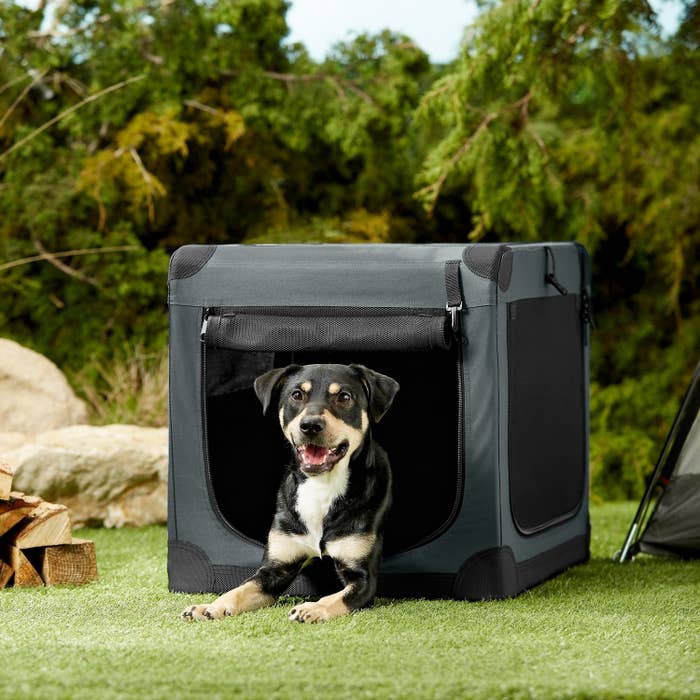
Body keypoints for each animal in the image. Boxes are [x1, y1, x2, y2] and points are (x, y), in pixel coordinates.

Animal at [180, 360, 400, 624]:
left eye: (344, 397)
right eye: (297, 395)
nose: (311, 425)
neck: (321, 485)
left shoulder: (364, 579)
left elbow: (336, 597)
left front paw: (312, 608)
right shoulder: (275, 568)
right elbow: (240, 589)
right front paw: (210, 606)